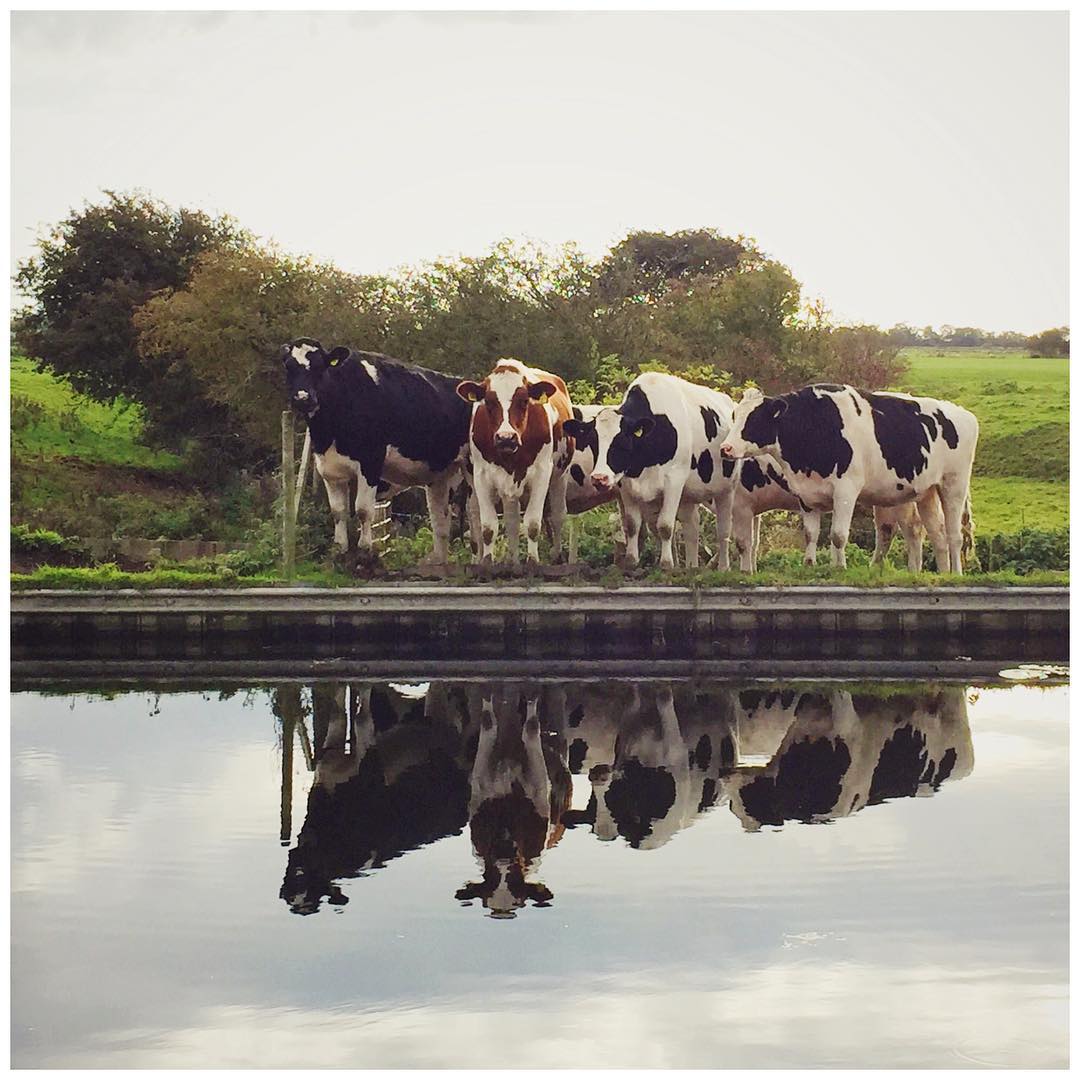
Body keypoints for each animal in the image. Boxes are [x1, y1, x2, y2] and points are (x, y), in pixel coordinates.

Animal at [280, 339, 470, 565]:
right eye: (289, 367)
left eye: (320, 367)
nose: (302, 398)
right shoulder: (329, 469)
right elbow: (338, 511)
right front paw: (340, 550)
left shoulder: (370, 462)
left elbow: (362, 509)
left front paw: (365, 551)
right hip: (441, 476)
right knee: (441, 520)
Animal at [455, 360, 574, 565]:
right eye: (489, 402)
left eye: (524, 401)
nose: (506, 438)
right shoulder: (481, 475)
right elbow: (489, 527)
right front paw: (487, 562)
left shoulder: (542, 473)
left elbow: (533, 523)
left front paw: (533, 561)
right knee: (511, 521)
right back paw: (512, 561)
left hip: (560, 476)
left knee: (558, 515)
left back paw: (557, 556)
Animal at [561, 373, 738, 574]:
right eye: (593, 441)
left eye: (622, 441)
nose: (599, 478)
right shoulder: (625, 485)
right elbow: (632, 525)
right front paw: (631, 561)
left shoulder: (674, 481)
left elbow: (665, 526)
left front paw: (666, 564)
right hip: (688, 496)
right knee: (692, 526)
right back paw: (692, 566)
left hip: (726, 490)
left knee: (724, 529)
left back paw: (723, 566)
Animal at [717, 388, 980, 574]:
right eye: (735, 416)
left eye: (754, 419)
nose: (725, 448)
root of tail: (964, 413)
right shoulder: (806, 495)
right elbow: (811, 534)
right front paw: (810, 564)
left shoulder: (846, 491)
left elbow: (838, 534)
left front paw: (839, 567)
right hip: (924, 492)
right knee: (934, 533)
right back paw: (942, 574)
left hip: (953, 485)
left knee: (954, 535)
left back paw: (956, 575)